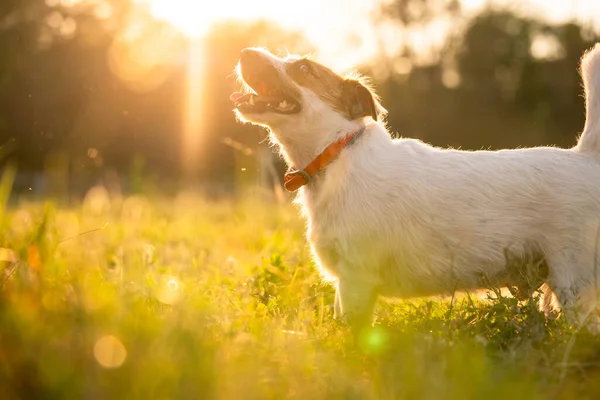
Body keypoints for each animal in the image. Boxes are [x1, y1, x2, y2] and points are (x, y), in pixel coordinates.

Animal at [231, 43, 600, 334]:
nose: (244, 52)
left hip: (575, 282)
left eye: (304, 69)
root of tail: (586, 158)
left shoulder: (356, 279)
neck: (336, 153)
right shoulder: (344, 283)